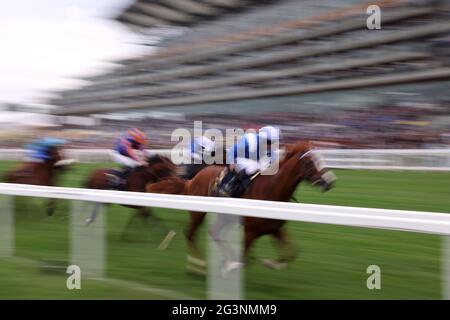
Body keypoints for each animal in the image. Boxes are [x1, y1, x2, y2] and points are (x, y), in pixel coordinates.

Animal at [146, 141, 336, 274]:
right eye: (310, 162)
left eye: (323, 159)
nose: (330, 182)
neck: (271, 190)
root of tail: (193, 179)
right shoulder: (250, 231)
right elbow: (244, 259)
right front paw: (232, 266)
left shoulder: (275, 228)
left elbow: (291, 252)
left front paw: (270, 263)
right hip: (198, 212)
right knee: (191, 233)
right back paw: (198, 266)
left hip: (225, 217)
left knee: (214, 233)